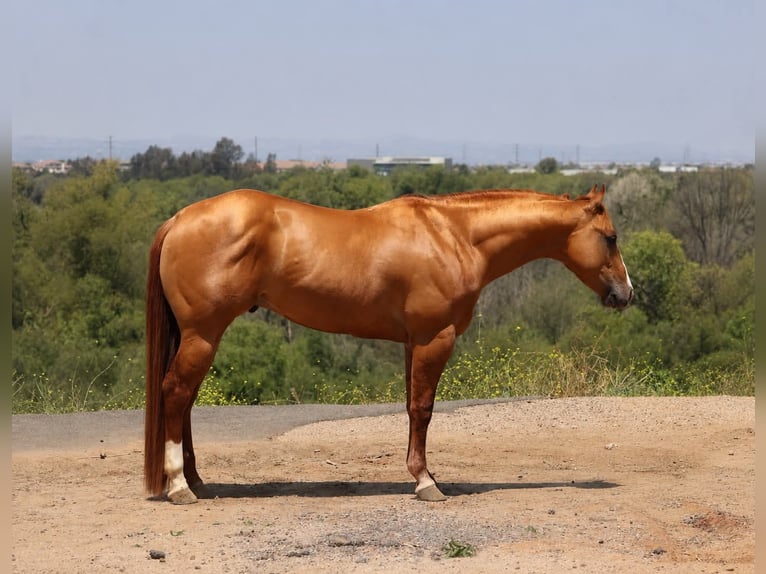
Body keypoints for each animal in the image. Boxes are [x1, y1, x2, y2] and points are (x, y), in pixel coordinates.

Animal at [144, 183, 633, 504]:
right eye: (610, 238)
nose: (626, 294)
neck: (455, 236)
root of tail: (179, 219)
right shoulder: (434, 339)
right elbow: (424, 409)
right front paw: (426, 483)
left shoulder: (411, 342)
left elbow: (411, 409)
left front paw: (419, 474)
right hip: (203, 335)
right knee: (176, 394)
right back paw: (180, 486)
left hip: (197, 337)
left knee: (184, 403)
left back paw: (196, 480)